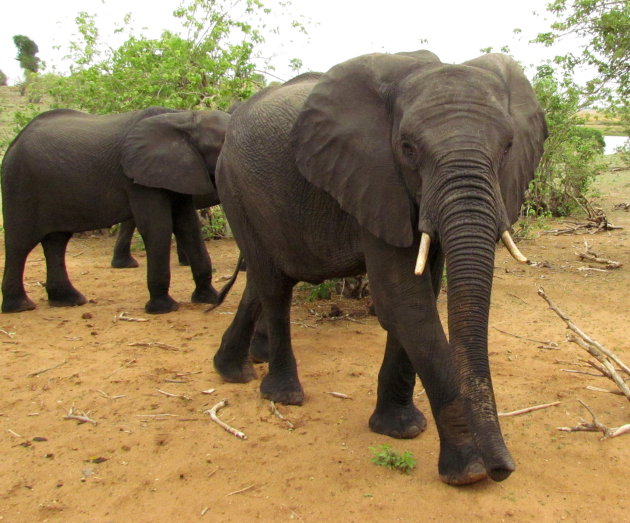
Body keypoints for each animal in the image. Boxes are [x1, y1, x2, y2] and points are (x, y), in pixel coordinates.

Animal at [1, 104, 233, 314]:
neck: (183, 118)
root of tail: (15, 141)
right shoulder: (139, 178)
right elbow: (158, 227)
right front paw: (164, 308)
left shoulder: (182, 171)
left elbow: (188, 225)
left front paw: (209, 299)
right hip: (20, 183)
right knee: (19, 244)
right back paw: (20, 307)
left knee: (56, 241)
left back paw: (69, 301)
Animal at [212, 51, 548, 486]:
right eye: (407, 148)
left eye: (508, 146)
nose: (504, 470)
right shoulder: (374, 178)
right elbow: (405, 302)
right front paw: (469, 471)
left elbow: (422, 293)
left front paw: (400, 429)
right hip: (234, 188)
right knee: (273, 285)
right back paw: (282, 394)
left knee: (262, 276)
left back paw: (233, 371)